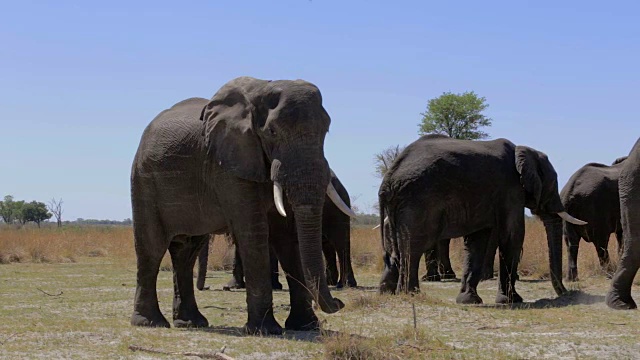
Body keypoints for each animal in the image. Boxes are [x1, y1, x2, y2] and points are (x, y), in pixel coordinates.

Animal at [129, 76, 356, 334]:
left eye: (325, 130)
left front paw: (306, 326)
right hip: (144, 181)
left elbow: (288, 236)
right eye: (272, 132)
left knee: (186, 252)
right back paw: (150, 322)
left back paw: (191, 322)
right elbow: (253, 231)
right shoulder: (228, 165)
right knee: (152, 248)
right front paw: (266, 330)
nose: (339, 302)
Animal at [378, 135, 588, 304]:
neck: (523, 151)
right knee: (414, 247)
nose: (567, 293)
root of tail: (388, 179)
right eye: (553, 184)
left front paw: (469, 300)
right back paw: (410, 294)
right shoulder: (510, 189)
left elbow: (477, 241)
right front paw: (512, 300)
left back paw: (387, 291)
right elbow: (513, 236)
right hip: (418, 200)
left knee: (395, 250)